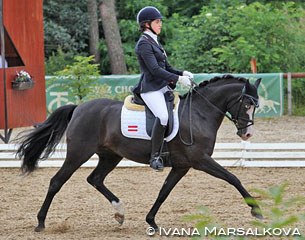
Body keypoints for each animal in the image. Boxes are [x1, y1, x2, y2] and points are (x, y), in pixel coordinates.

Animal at [16, 75, 262, 232]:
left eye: (256, 105)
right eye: (246, 104)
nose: (247, 133)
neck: (198, 114)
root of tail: (79, 108)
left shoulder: (182, 166)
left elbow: (164, 192)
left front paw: (151, 221)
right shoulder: (200, 160)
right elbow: (233, 178)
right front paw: (256, 210)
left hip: (110, 156)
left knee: (95, 179)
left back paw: (120, 212)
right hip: (78, 153)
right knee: (56, 181)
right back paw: (40, 223)